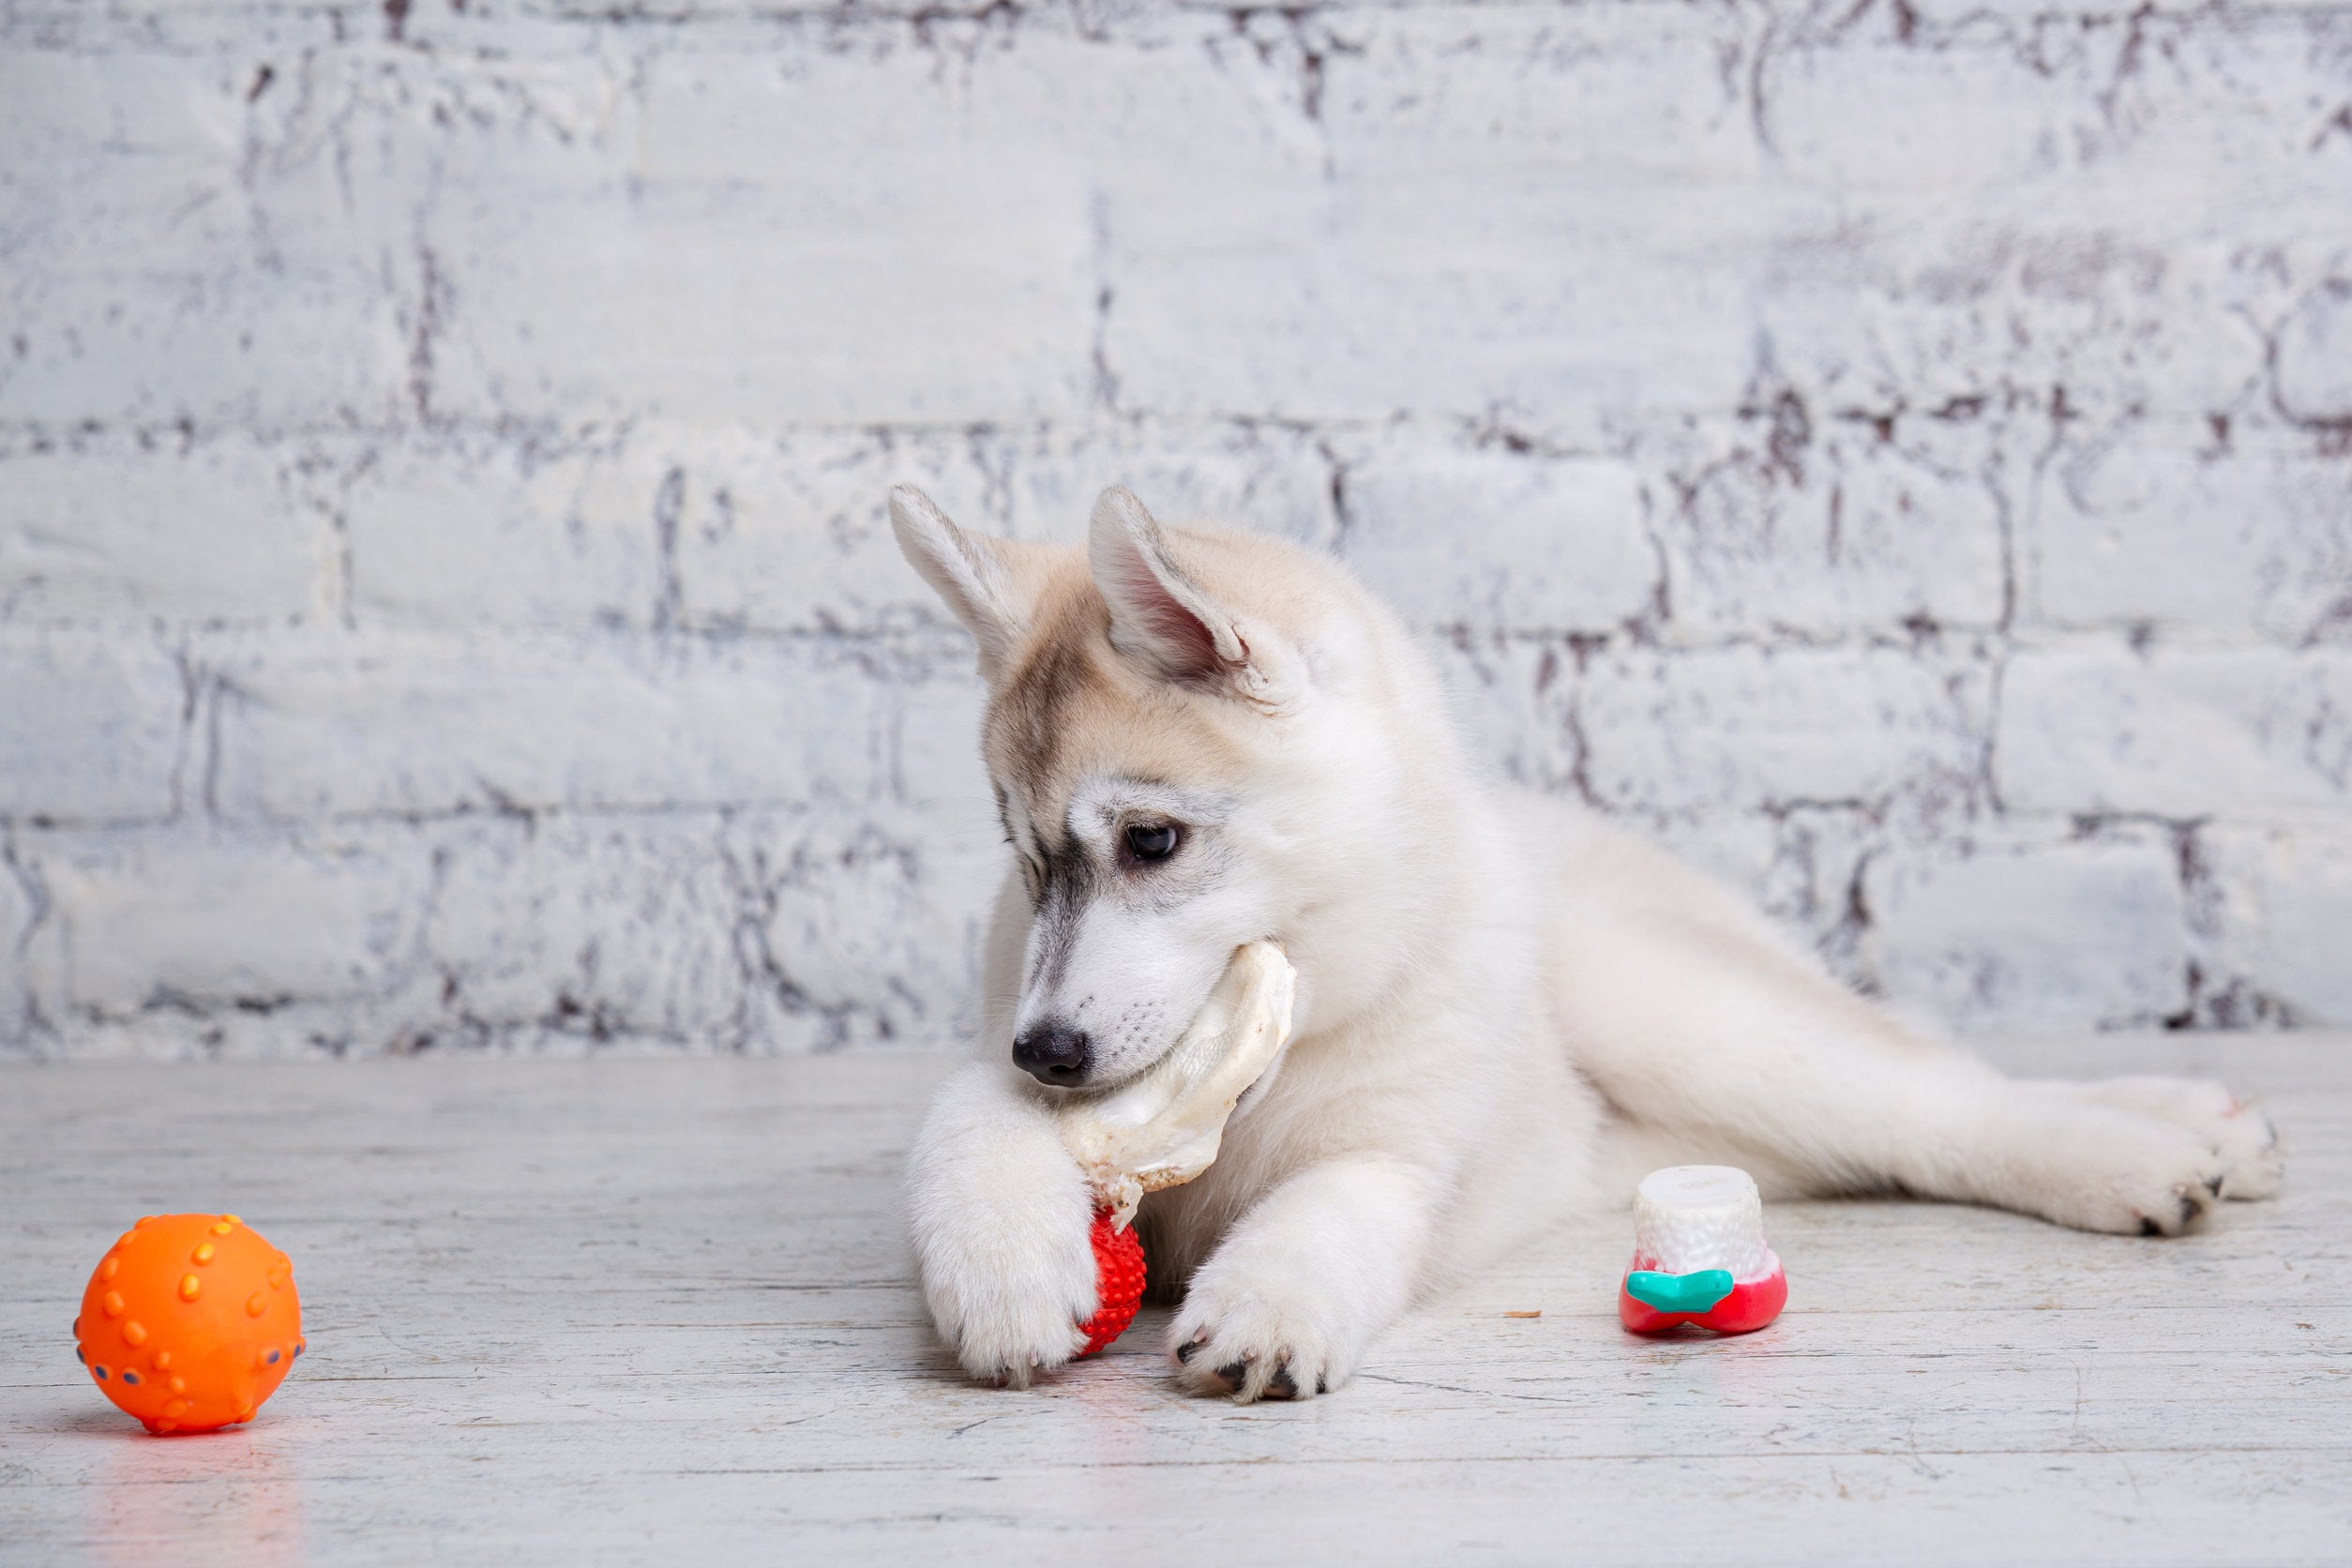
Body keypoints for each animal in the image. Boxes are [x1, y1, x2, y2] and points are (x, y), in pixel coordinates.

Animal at [889, 484, 2285, 1401]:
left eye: (1153, 842)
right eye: (1025, 854)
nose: (1050, 1052)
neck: (1288, 1034)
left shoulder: (1402, 1153)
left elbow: (1334, 1207)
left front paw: (1269, 1302)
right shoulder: (1015, 1050)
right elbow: (962, 1115)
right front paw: (1003, 1267)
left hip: (1684, 1015)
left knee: (1941, 1099)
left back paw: (2139, 1153)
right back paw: (2203, 1120)